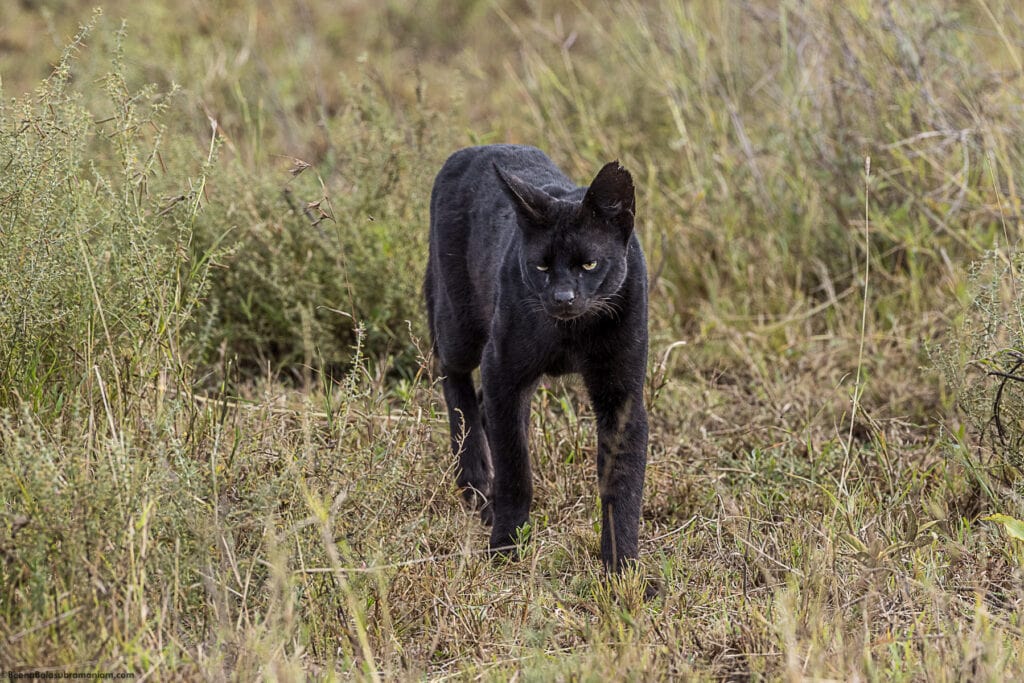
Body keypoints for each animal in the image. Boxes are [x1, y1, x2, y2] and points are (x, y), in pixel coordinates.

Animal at [423, 144, 647, 577]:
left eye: (589, 264)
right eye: (541, 265)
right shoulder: (504, 371)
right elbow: (515, 468)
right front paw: (505, 547)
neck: (573, 333)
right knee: (455, 380)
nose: (562, 297)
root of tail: (468, 151)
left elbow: (623, 483)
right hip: (460, 325)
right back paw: (475, 484)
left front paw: (624, 570)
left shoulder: (621, 393)